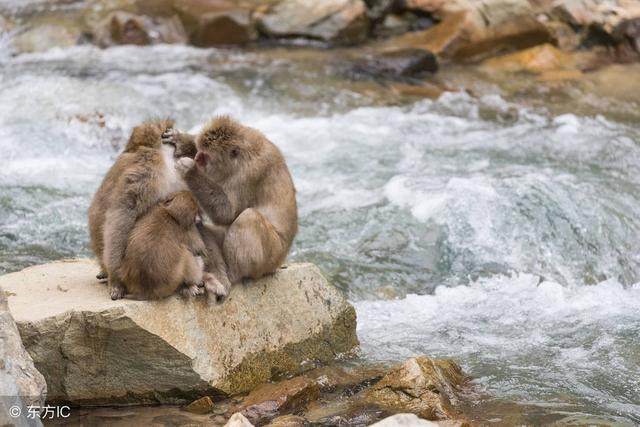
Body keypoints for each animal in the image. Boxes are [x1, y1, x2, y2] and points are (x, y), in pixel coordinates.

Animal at [170, 116, 300, 298]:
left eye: (205, 157)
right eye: (199, 152)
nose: (197, 159)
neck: (244, 154)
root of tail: (280, 259)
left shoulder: (248, 173)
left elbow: (227, 213)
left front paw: (190, 170)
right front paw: (183, 139)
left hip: (270, 258)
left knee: (249, 217)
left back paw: (229, 276)